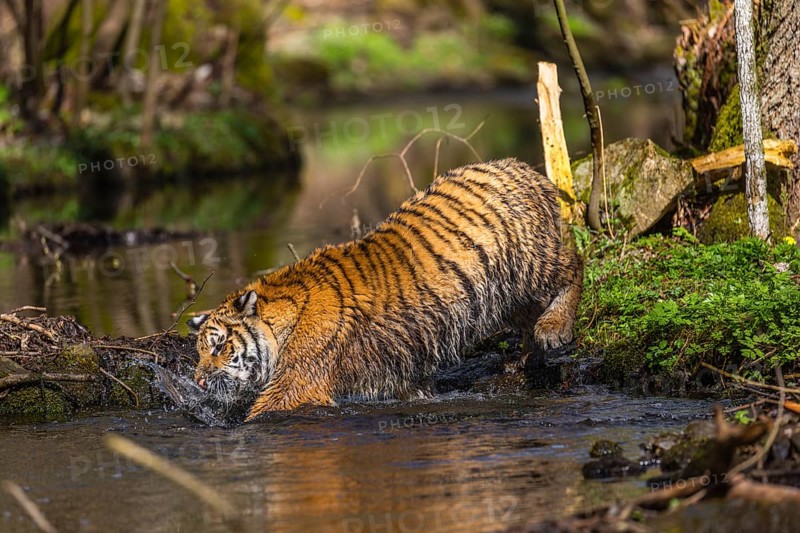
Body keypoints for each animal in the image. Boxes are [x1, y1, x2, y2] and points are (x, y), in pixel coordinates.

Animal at [188, 158, 583, 422]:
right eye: (199, 352)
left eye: (219, 347)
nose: (199, 381)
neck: (281, 324)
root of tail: (524, 169)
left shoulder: (298, 383)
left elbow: (264, 412)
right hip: (504, 292)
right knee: (530, 312)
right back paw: (527, 357)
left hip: (529, 263)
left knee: (574, 263)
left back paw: (554, 330)